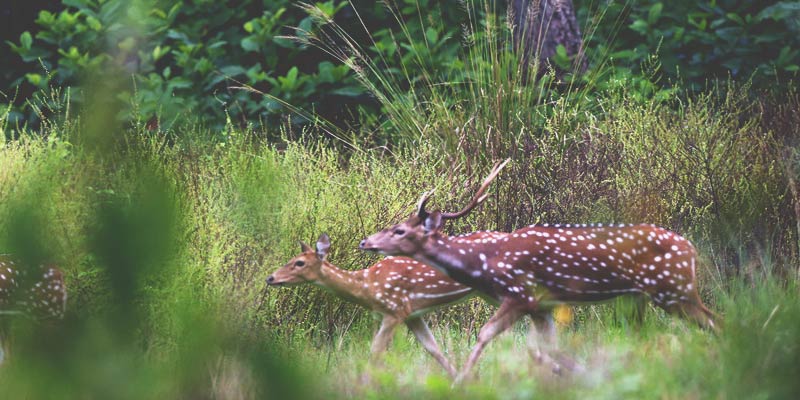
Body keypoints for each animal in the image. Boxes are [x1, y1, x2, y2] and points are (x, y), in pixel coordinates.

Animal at [268, 233, 482, 376]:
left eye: (300, 263)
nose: (270, 278)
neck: (367, 286)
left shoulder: (394, 310)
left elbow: (376, 352)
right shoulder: (412, 314)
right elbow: (433, 348)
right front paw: (460, 381)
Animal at [360, 159, 720, 382]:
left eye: (399, 231)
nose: (366, 242)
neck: (485, 265)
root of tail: (691, 249)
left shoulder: (519, 295)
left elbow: (485, 334)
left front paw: (461, 380)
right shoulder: (541, 306)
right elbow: (546, 348)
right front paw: (583, 375)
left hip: (671, 289)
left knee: (716, 321)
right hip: (657, 294)